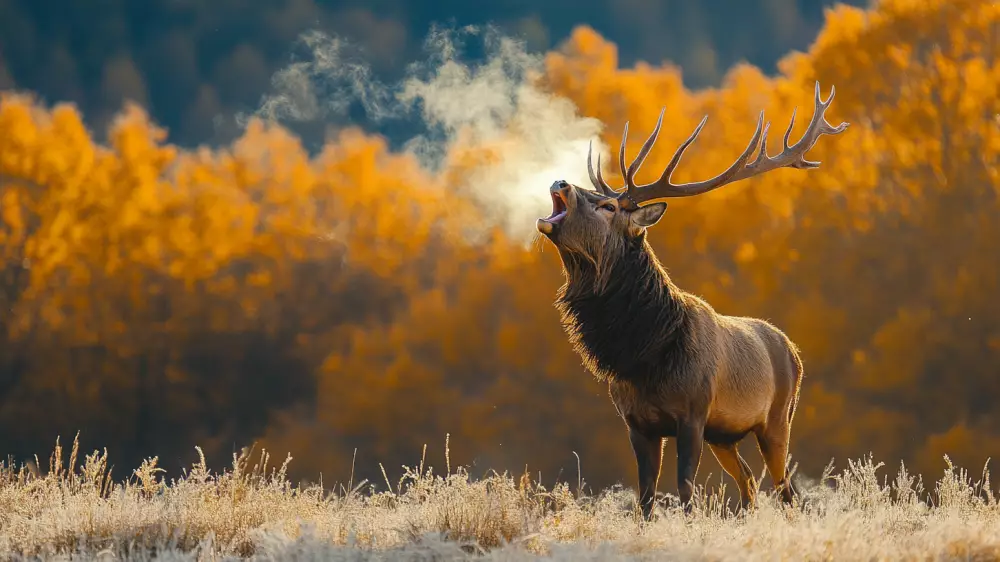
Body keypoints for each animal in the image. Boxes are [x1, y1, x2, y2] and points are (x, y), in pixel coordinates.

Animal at [536, 82, 848, 516]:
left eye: (609, 205)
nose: (561, 182)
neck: (645, 354)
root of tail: (793, 351)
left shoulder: (693, 414)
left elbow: (686, 490)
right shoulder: (637, 423)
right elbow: (646, 498)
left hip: (778, 417)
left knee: (786, 488)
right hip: (725, 435)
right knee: (749, 480)